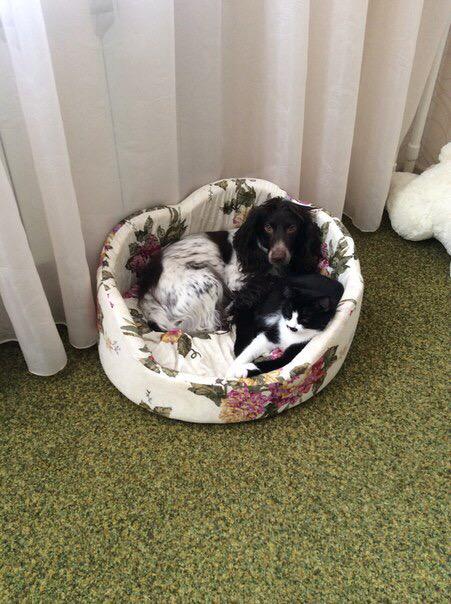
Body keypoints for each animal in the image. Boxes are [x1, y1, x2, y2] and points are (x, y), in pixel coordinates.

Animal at [138, 198, 322, 333]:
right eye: (268, 227)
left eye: (292, 228)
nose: (278, 257)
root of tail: (145, 291)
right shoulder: (237, 281)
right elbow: (267, 281)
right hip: (208, 280)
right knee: (210, 323)